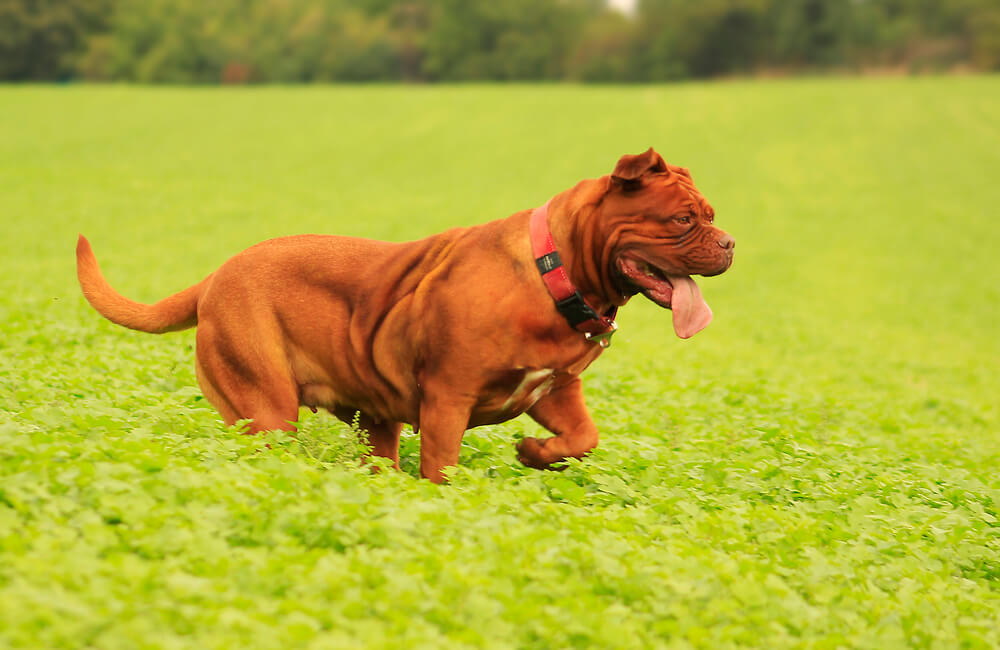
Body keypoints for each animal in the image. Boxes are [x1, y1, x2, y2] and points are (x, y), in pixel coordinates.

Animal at [76, 148, 736, 480]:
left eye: (710, 214)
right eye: (683, 219)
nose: (731, 243)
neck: (556, 271)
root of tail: (214, 277)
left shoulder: (555, 390)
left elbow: (584, 438)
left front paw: (533, 454)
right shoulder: (448, 399)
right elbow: (442, 468)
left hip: (372, 419)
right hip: (266, 408)